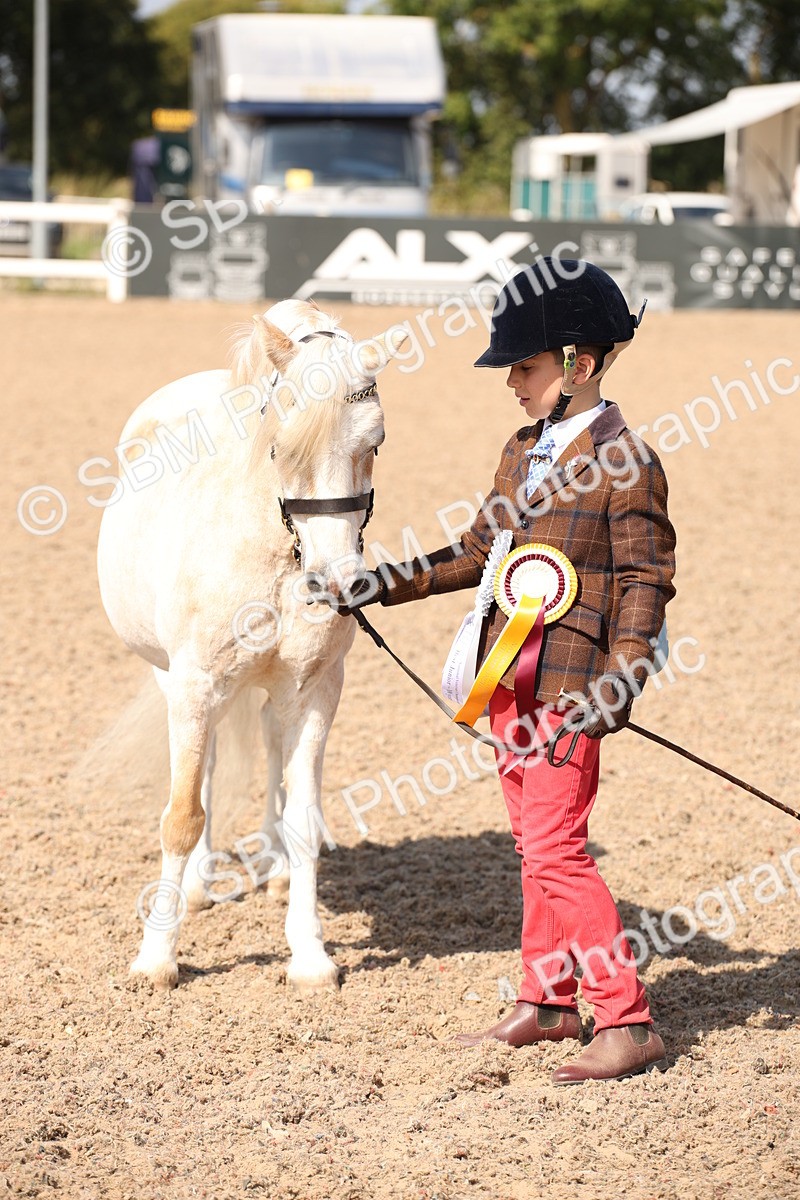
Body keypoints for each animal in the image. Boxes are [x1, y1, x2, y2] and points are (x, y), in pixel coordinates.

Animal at [97, 300, 407, 991]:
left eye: (375, 443)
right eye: (280, 447)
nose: (337, 583)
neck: (275, 552)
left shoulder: (316, 692)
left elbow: (303, 819)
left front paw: (310, 956)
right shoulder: (193, 685)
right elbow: (182, 816)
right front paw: (157, 958)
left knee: (270, 749)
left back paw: (276, 871)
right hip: (175, 683)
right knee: (207, 770)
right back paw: (198, 886)